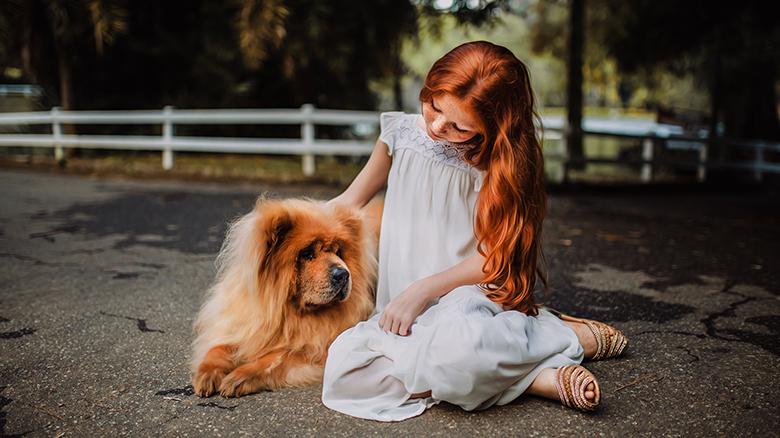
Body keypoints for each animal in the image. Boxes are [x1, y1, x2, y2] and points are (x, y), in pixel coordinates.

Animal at [192, 198, 380, 396]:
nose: (343, 274)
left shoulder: (315, 350)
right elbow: (218, 348)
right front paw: (206, 374)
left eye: (338, 253)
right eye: (307, 253)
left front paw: (239, 377)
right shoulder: (240, 325)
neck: (289, 313)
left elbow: (276, 358)